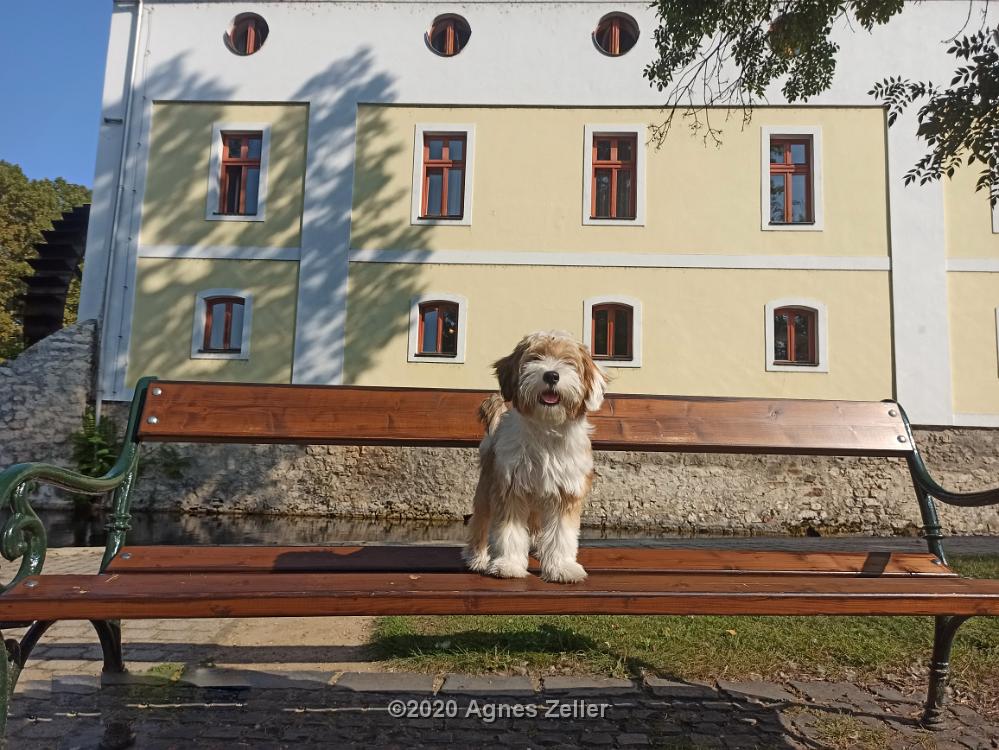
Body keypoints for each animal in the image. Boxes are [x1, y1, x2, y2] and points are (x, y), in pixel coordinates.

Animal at [462, 332, 608, 584]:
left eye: (568, 361)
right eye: (535, 357)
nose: (551, 375)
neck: (546, 429)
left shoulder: (566, 491)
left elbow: (561, 534)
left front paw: (561, 567)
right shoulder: (509, 487)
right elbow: (509, 531)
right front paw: (508, 564)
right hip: (487, 485)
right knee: (481, 520)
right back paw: (477, 557)